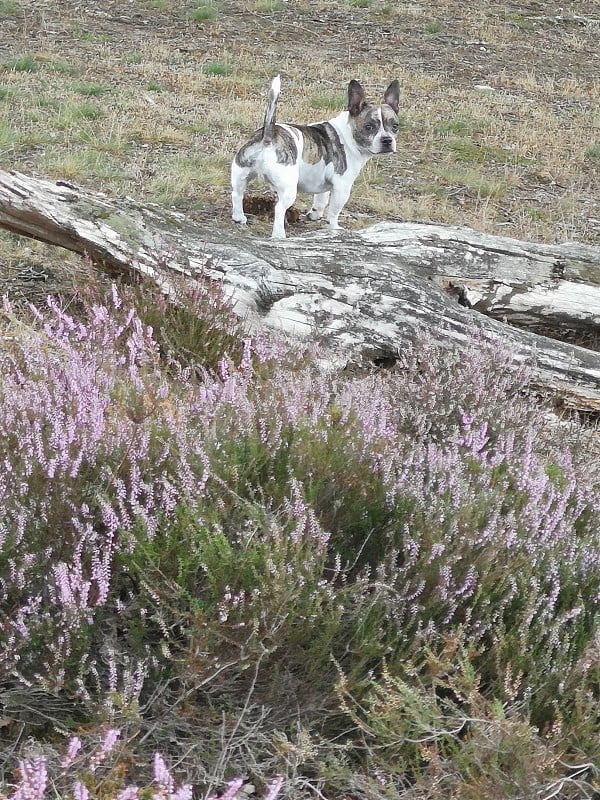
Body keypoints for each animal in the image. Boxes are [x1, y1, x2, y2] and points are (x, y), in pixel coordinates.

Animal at [232, 74, 400, 238]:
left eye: (395, 126)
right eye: (369, 127)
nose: (387, 140)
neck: (347, 133)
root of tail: (268, 135)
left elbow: (321, 199)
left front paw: (314, 214)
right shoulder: (342, 187)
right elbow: (333, 212)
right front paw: (334, 228)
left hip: (240, 173)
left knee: (237, 194)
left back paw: (239, 217)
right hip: (289, 188)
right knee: (279, 208)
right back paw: (279, 235)